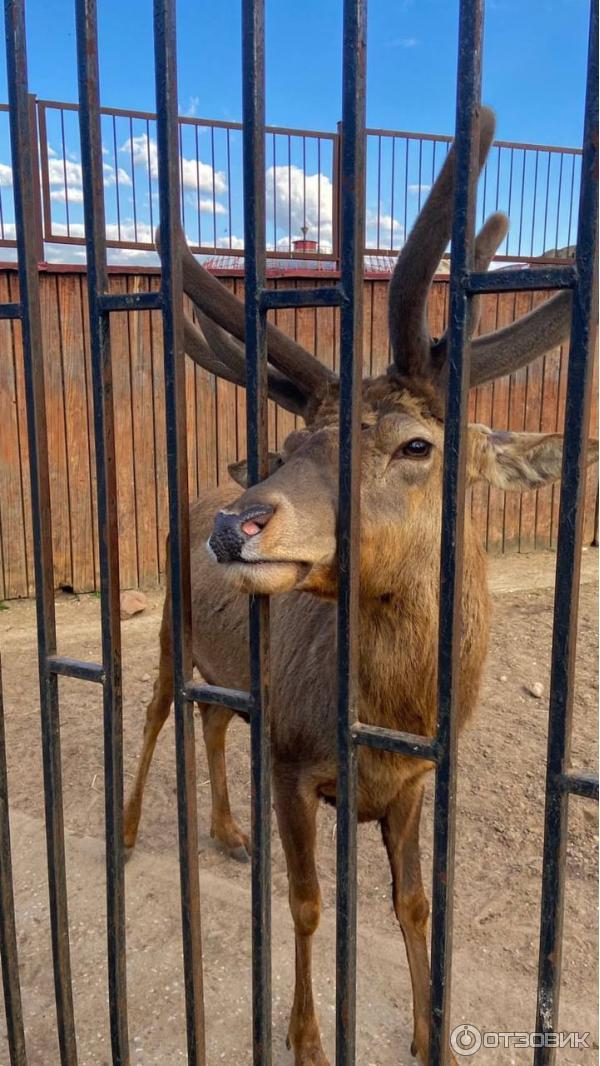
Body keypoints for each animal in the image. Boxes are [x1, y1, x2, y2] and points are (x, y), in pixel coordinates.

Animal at [123, 110, 596, 1066]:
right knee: (158, 711)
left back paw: (226, 833)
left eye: (418, 444)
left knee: (211, 717)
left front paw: (429, 1035)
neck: (395, 718)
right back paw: (123, 834)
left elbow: (414, 905)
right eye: (295, 442)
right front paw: (305, 1036)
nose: (237, 526)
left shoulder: (413, 787)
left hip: (231, 668)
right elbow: (308, 904)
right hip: (165, 628)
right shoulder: (292, 758)